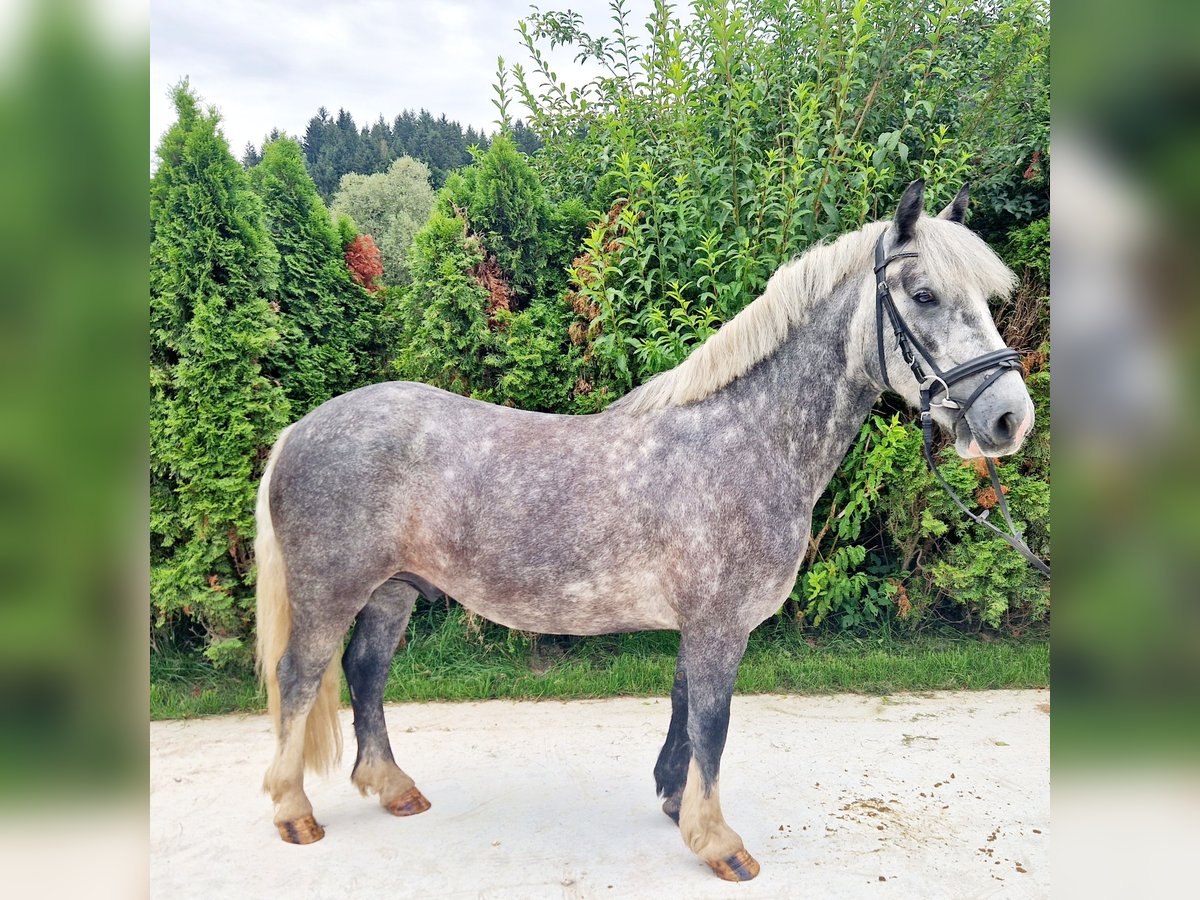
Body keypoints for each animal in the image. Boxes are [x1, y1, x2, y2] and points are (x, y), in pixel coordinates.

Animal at [250, 181, 1032, 883]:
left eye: (986, 300)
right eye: (924, 295)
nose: (1008, 419)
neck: (743, 440)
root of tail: (299, 432)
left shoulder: (703, 623)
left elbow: (685, 710)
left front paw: (674, 802)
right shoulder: (720, 623)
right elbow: (712, 722)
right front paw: (719, 844)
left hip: (392, 591)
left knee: (365, 672)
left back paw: (393, 788)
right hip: (331, 592)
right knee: (300, 678)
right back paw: (292, 812)